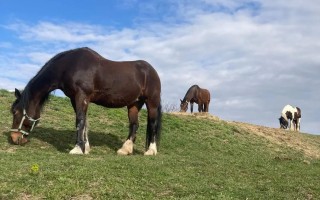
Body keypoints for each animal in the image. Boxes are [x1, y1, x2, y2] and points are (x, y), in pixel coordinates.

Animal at [10, 46, 161, 155]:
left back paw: (151, 151)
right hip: (134, 104)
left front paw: (77, 149)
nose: (14, 138)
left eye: (16, 112)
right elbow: (85, 122)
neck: (69, 66)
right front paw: (86, 148)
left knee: (152, 124)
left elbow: (79, 120)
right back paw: (125, 149)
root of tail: (151, 71)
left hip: (151, 103)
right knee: (134, 124)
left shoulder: (81, 96)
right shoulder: (75, 99)